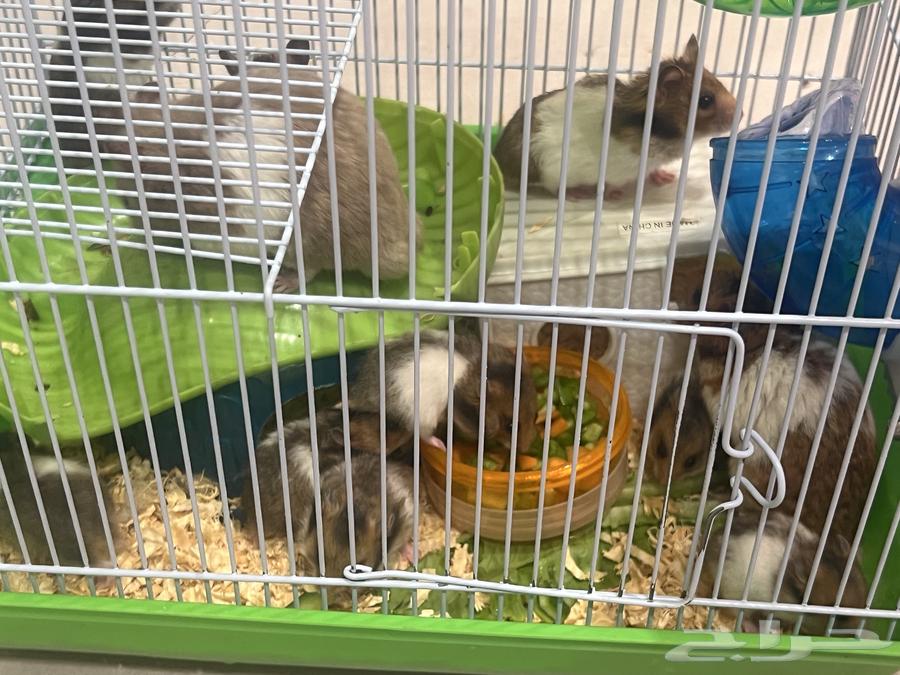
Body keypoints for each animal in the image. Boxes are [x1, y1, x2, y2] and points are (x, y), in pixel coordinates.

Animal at [345, 329, 538, 458]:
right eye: (511, 427)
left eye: (536, 416)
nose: (525, 450)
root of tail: (361, 393)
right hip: (423, 415)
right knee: (423, 435)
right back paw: (441, 446)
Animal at [493, 35, 737, 200]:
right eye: (706, 100)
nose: (740, 113)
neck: (656, 131)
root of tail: (501, 159)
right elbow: (611, 184)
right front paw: (616, 195)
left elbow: (653, 170)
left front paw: (666, 178)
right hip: (550, 169)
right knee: (553, 188)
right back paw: (578, 193)